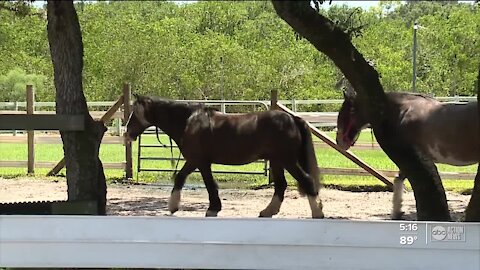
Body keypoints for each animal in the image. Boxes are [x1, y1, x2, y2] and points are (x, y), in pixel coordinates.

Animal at [125, 94, 324, 218]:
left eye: (134, 113)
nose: (127, 134)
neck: (189, 121)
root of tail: (293, 119)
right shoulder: (197, 161)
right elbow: (185, 179)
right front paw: (177, 206)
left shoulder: (198, 161)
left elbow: (205, 183)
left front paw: (210, 208)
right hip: (277, 161)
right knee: (281, 186)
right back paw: (267, 212)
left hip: (287, 160)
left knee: (306, 181)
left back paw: (318, 213)